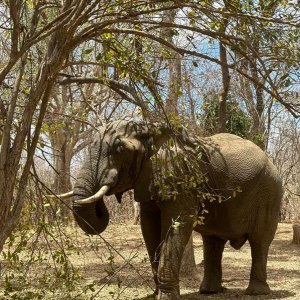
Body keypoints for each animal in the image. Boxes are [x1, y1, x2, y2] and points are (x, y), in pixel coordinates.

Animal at [55, 120, 282, 300]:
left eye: (119, 150)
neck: (151, 130)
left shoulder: (182, 180)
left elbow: (177, 224)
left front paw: (165, 297)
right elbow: (149, 229)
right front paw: (156, 295)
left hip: (269, 192)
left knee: (260, 240)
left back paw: (256, 293)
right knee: (212, 241)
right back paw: (209, 291)